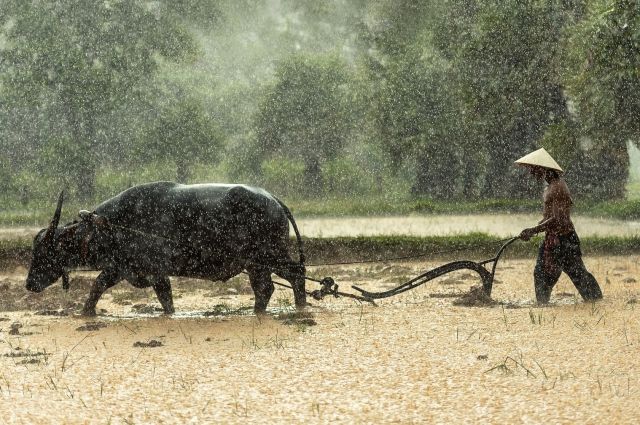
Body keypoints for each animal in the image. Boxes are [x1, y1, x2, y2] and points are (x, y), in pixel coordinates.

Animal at [28, 181, 308, 316]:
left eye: (45, 252)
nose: (29, 284)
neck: (113, 225)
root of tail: (274, 200)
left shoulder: (155, 272)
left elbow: (165, 299)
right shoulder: (120, 268)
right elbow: (97, 287)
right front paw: (85, 314)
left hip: (271, 255)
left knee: (296, 274)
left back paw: (301, 307)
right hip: (256, 265)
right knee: (265, 288)